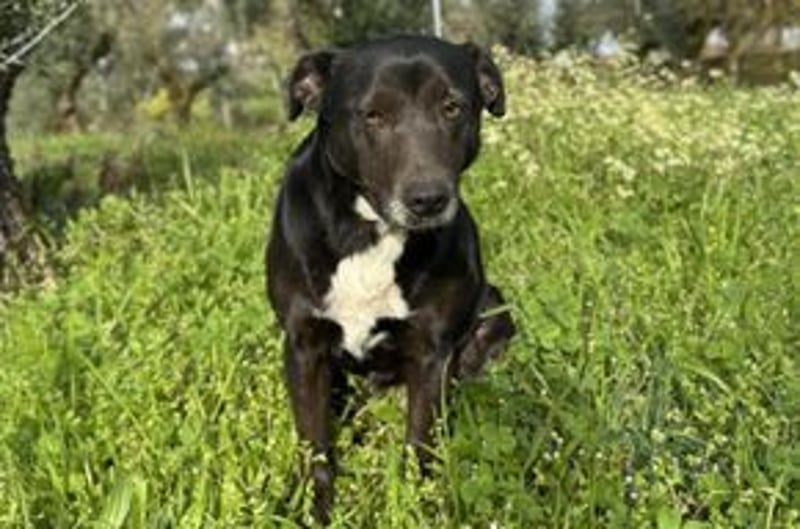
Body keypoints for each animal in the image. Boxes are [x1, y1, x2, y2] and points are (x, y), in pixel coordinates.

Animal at [266, 35, 515, 524]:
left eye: (452, 107)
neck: (371, 232)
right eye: (373, 115)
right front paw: (312, 509)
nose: (428, 200)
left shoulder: (430, 353)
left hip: (496, 310)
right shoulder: (304, 346)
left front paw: (421, 507)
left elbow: (420, 443)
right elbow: (314, 445)